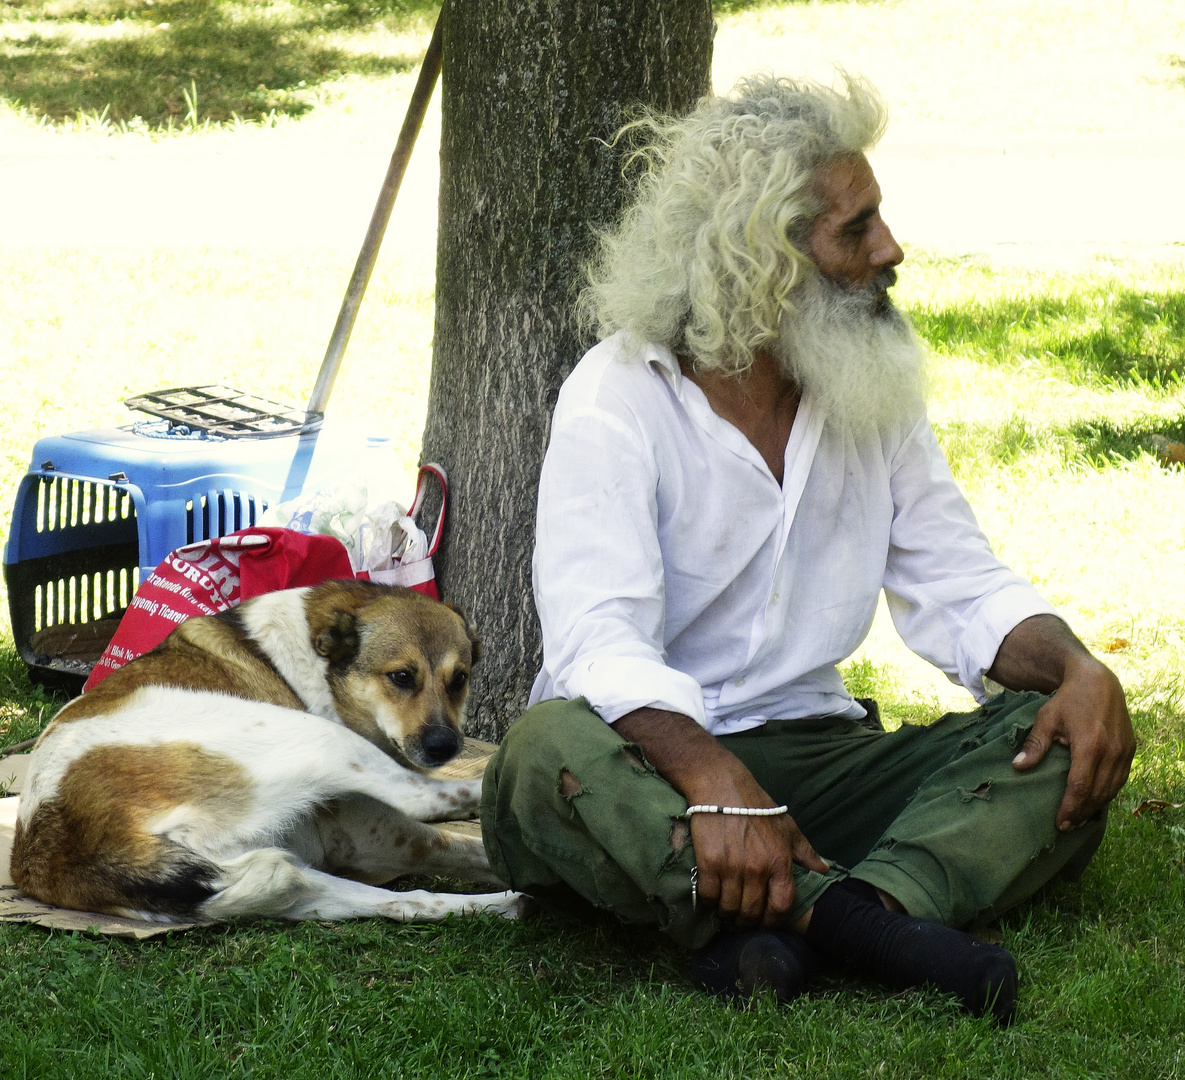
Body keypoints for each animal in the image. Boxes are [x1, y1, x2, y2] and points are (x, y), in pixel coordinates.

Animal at [9, 578, 528, 924]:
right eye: (401, 677)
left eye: (460, 679)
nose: (445, 745)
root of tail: (58, 846)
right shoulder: (374, 835)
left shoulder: (375, 847)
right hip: (314, 739)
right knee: (421, 797)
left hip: (288, 883)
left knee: (406, 900)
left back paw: (505, 905)